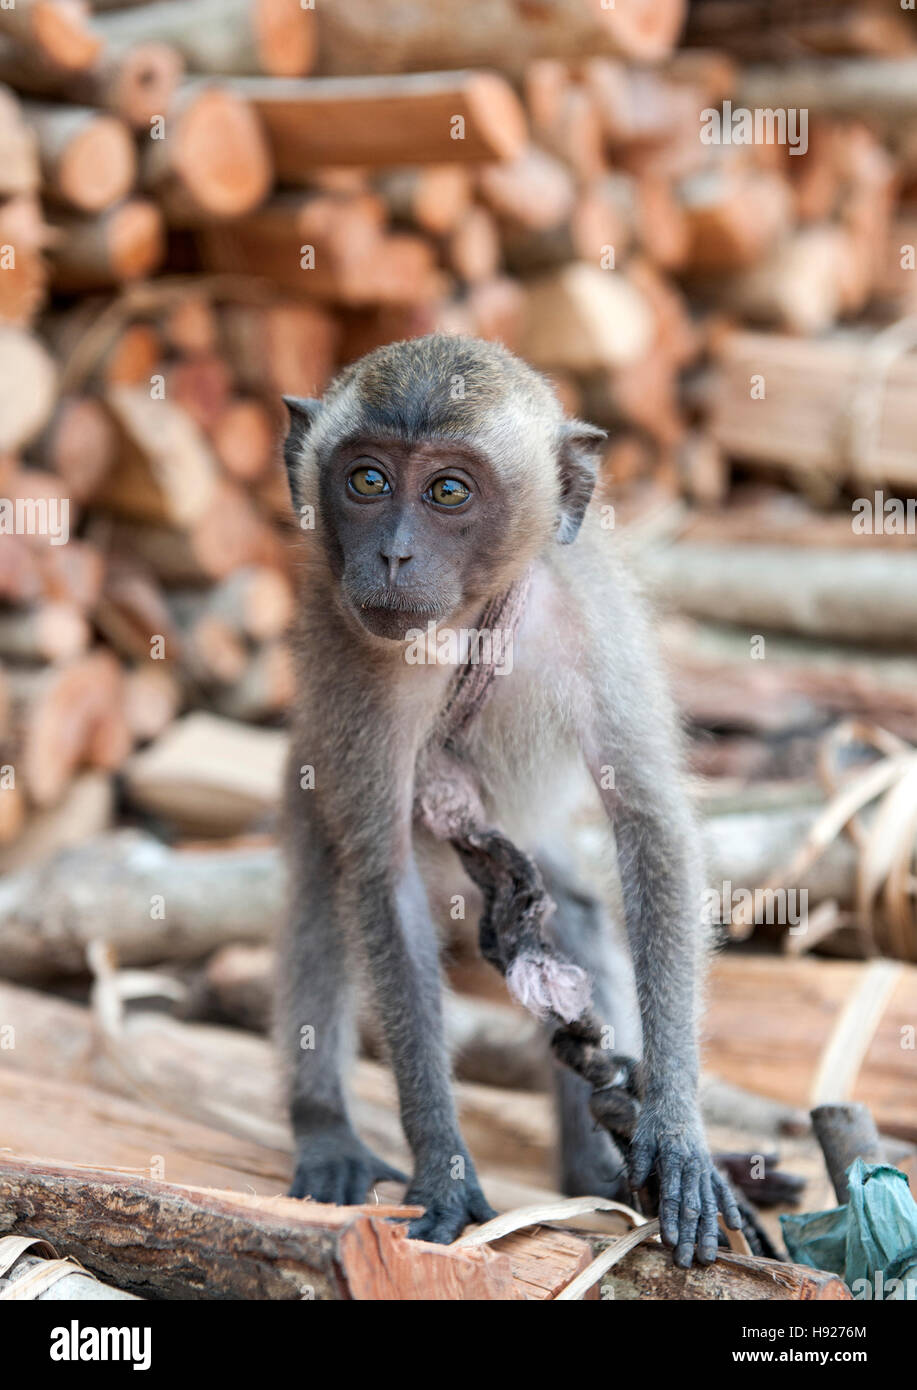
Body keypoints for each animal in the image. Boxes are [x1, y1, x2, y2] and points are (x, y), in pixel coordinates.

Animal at [276, 328, 739, 1262]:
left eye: (448, 491)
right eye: (366, 481)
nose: (393, 555)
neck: (471, 621)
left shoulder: (592, 616)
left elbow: (650, 826)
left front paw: (675, 1130)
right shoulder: (351, 663)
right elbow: (380, 880)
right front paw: (443, 1163)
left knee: (573, 913)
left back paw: (600, 1152)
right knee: (326, 880)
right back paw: (325, 1127)